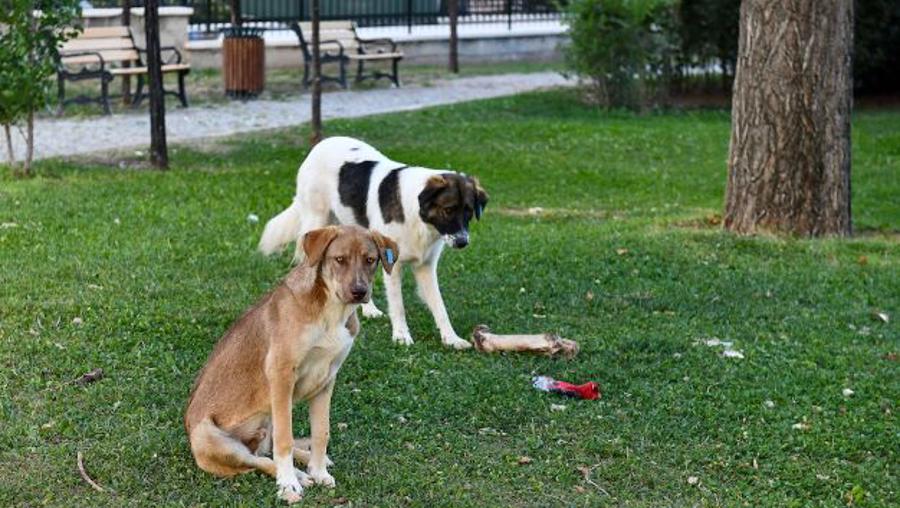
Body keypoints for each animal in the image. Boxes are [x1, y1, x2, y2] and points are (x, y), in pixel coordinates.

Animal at [185, 225, 398, 504]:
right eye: (339, 259)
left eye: (370, 260)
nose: (359, 292)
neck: (331, 313)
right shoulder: (281, 374)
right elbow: (284, 441)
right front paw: (288, 482)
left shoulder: (326, 379)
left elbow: (321, 433)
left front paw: (319, 471)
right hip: (209, 437)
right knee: (260, 460)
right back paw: (297, 478)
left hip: (269, 417)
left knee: (267, 450)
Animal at [256, 135, 488, 350]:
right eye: (448, 210)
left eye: (468, 211)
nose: (463, 241)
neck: (415, 213)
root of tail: (321, 143)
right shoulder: (394, 266)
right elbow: (398, 305)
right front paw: (401, 336)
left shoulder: (425, 267)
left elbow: (440, 307)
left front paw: (451, 338)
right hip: (317, 219)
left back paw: (368, 308)